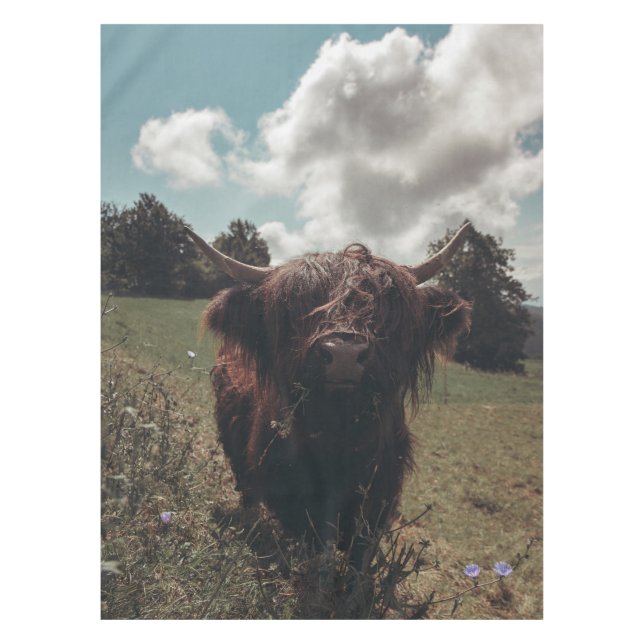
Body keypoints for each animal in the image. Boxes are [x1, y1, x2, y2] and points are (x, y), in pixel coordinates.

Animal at [185, 224, 472, 567]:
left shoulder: (379, 495)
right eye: (296, 306)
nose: (344, 354)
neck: (339, 436)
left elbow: (360, 553)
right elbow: (317, 542)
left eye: (386, 306)